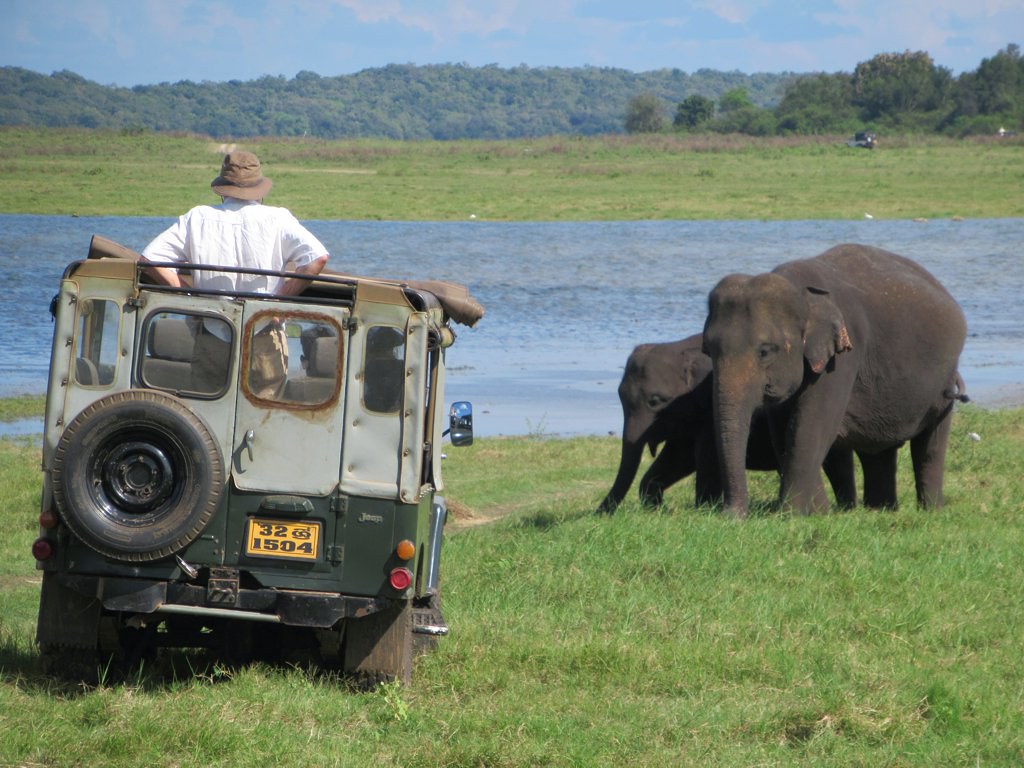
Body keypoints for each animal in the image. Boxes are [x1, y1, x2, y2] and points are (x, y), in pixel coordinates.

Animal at [597, 334, 856, 513]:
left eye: (655, 401)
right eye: (619, 395)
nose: (599, 513)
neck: (680, 348)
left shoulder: (710, 409)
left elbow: (705, 459)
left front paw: (703, 509)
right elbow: (677, 458)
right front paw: (657, 506)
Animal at [702, 243, 967, 517]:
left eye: (765, 351)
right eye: (707, 350)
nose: (730, 515)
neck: (801, 292)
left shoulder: (843, 358)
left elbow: (811, 426)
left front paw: (791, 515)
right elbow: (783, 432)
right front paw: (820, 513)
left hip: (944, 381)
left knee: (931, 446)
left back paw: (930, 511)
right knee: (878, 450)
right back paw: (880, 510)